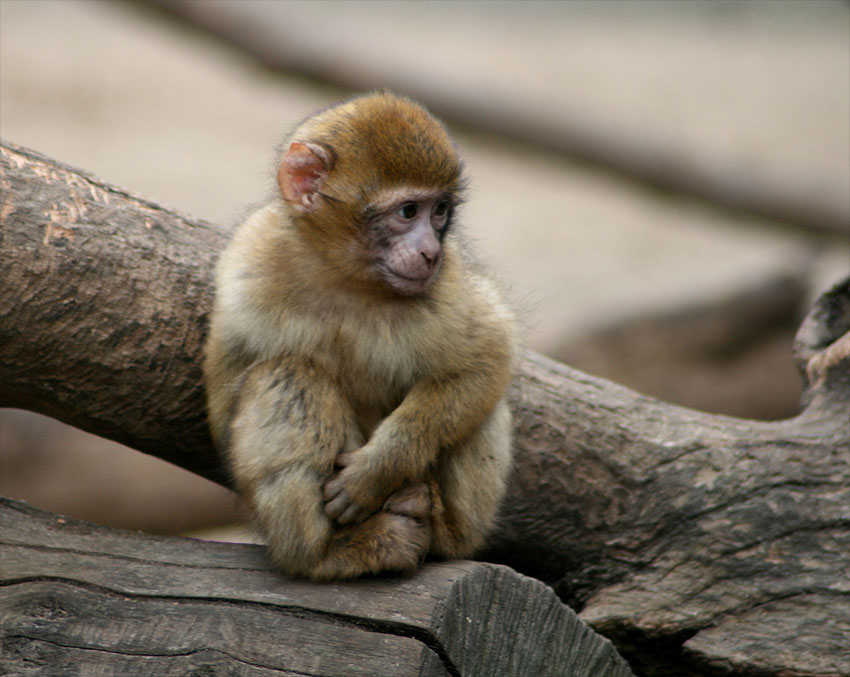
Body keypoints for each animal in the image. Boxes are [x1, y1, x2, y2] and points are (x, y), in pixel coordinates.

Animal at [204, 91, 516, 580]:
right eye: (408, 212)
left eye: (440, 211)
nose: (431, 252)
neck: (348, 279)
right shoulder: (249, 263)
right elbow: (225, 401)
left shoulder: (447, 286)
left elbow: (487, 358)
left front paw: (377, 471)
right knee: (287, 372)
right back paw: (322, 554)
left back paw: (431, 518)